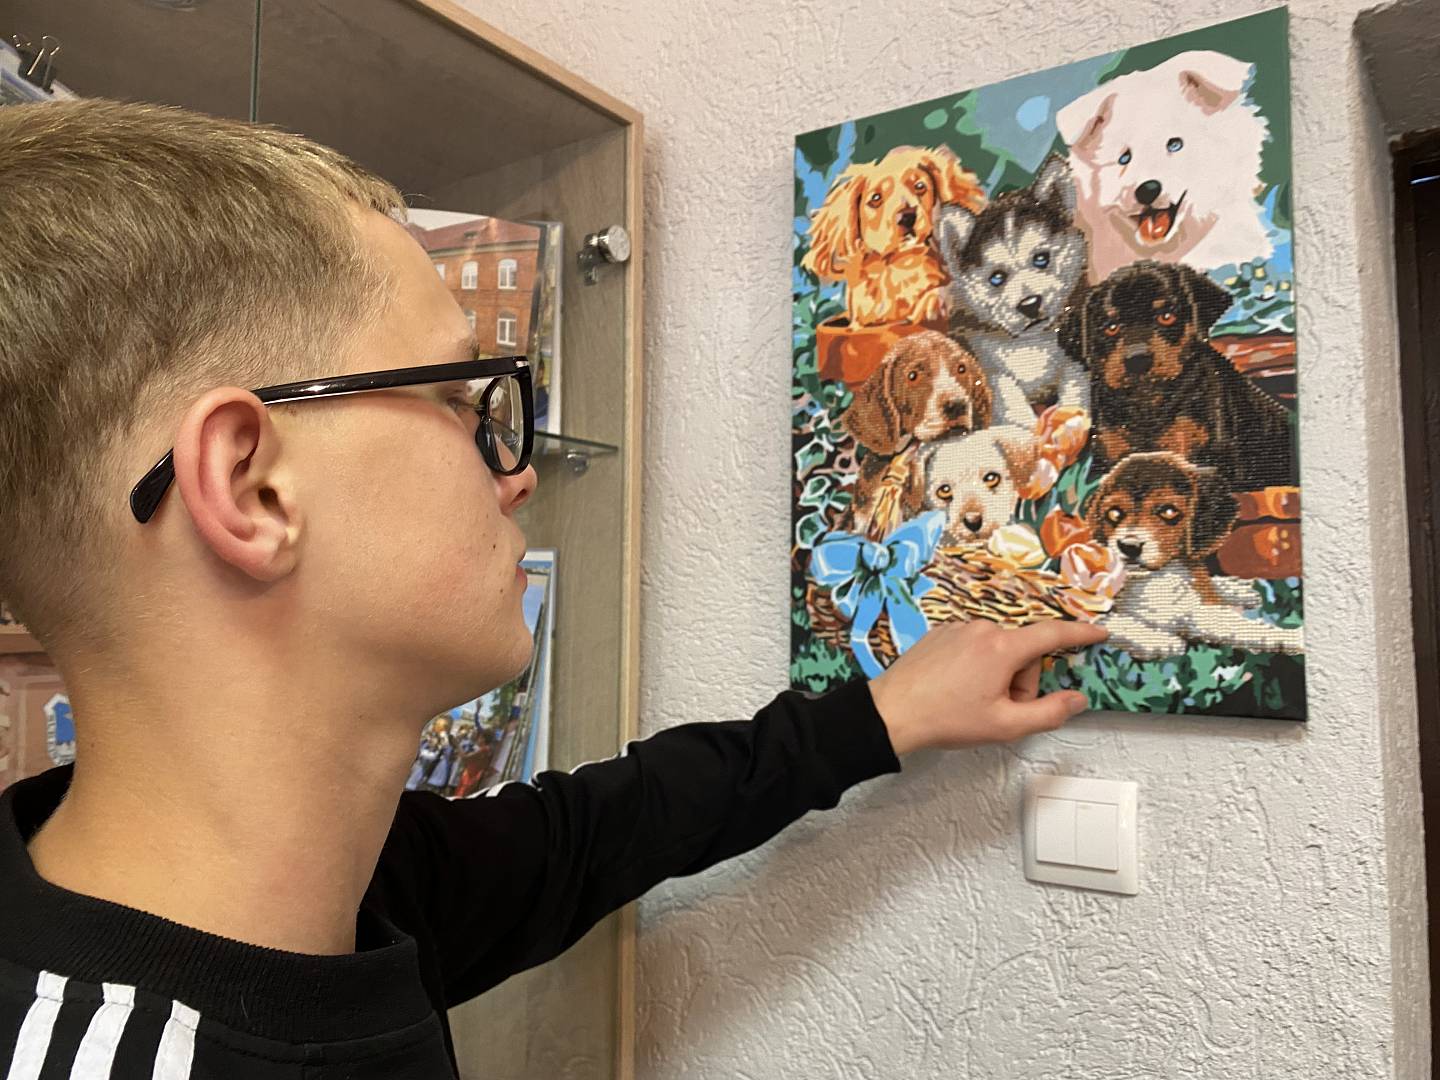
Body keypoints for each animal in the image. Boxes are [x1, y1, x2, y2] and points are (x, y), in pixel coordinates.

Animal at [937, 153, 1090, 427]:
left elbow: (1074, 387)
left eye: (1041, 259)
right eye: (997, 278)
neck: (1030, 343)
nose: (1030, 304)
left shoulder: (1075, 354)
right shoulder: (988, 368)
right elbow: (1011, 402)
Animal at [1086, 451, 1302, 659]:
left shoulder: (1196, 612)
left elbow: (1240, 626)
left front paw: (1289, 637)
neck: (1162, 576)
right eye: (1114, 513)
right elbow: (1110, 620)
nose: (1129, 546)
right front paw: (1159, 640)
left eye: (1169, 511)